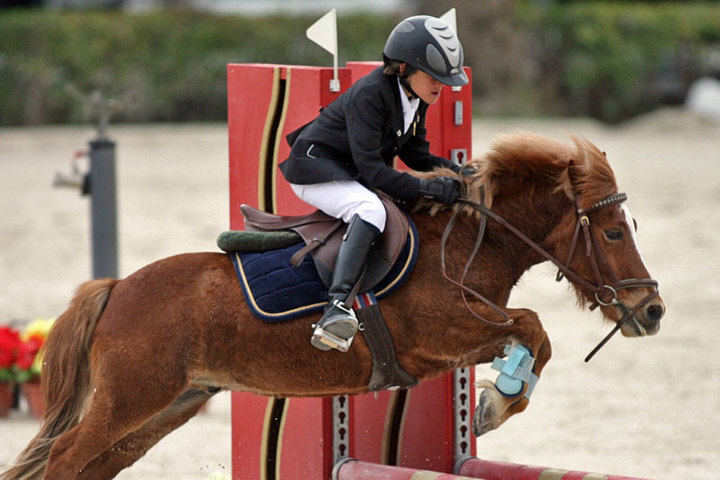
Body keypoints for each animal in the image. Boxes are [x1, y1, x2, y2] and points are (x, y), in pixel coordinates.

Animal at [4, 132, 664, 480]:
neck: (465, 244)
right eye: (612, 232)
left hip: (165, 408)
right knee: (63, 458)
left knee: (87, 466)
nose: (652, 310)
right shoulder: (439, 337)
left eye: (629, 227)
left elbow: (531, 336)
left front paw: (494, 401)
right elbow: (533, 327)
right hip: (132, 400)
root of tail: (115, 288)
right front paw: (495, 403)